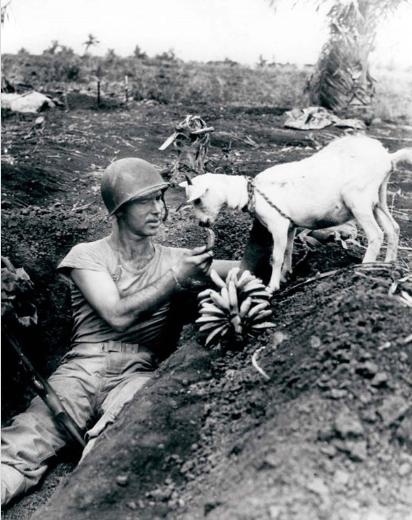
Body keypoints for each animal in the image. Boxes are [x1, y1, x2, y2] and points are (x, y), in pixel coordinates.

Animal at [180, 134, 412, 292]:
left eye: (198, 200)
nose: (202, 224)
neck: (251, 193)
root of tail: (387, 157)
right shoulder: (290, 226)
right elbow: (288, 251)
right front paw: (285, 276)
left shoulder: (278, 225)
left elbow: (275, 256)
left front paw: (272, 286)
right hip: (378, 199)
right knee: (393, 229)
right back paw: (386, 265)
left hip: (359, 200)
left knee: (376, 234)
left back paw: (364, 268)